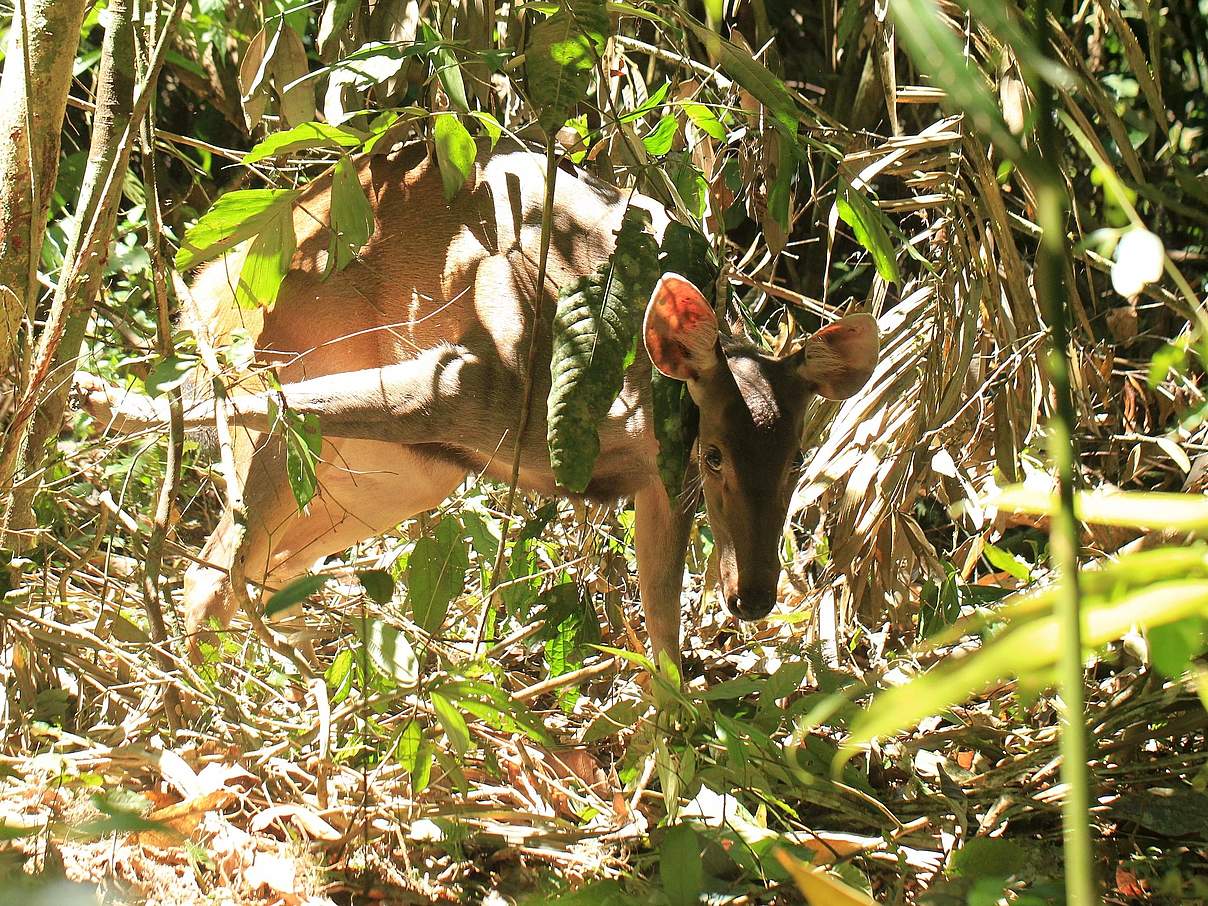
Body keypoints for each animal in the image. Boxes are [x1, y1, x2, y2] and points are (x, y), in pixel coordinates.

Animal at [77, 143, 879, 666]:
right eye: (714, 454)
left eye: (798, 459)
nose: (754, 597)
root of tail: (211, 278)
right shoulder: (467, 378)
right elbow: (289, 408)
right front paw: (105, 400)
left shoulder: (656, 484)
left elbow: (663, 630)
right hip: (286, 361)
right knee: (214, 566)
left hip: (404, 472)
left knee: (261, 566)